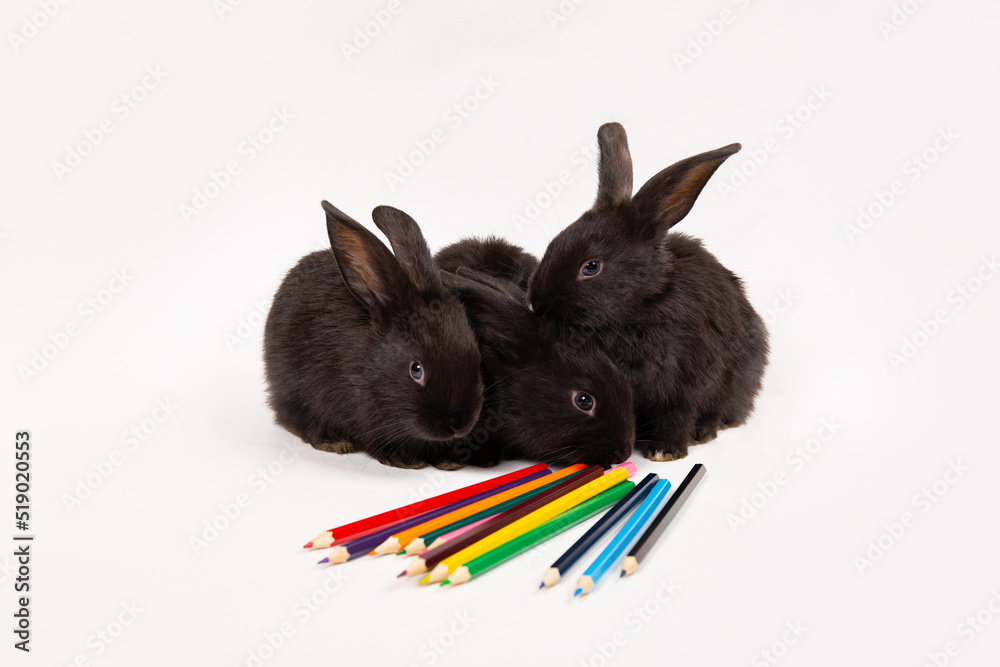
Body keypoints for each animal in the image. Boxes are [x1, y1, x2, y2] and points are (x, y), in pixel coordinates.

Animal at [263, 201, 490, 470]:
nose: (458, 425)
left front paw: (449, 459)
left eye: (477, 359)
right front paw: (404, 459)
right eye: (416, 369)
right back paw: (331, 439)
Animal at [526, 123, 769, 462]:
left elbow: (677, 413)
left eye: (591, 267)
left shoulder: (686, 382)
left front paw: (665, 451)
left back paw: (704, 432)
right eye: (552, 245)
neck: (639, 308)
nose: (536, 303)